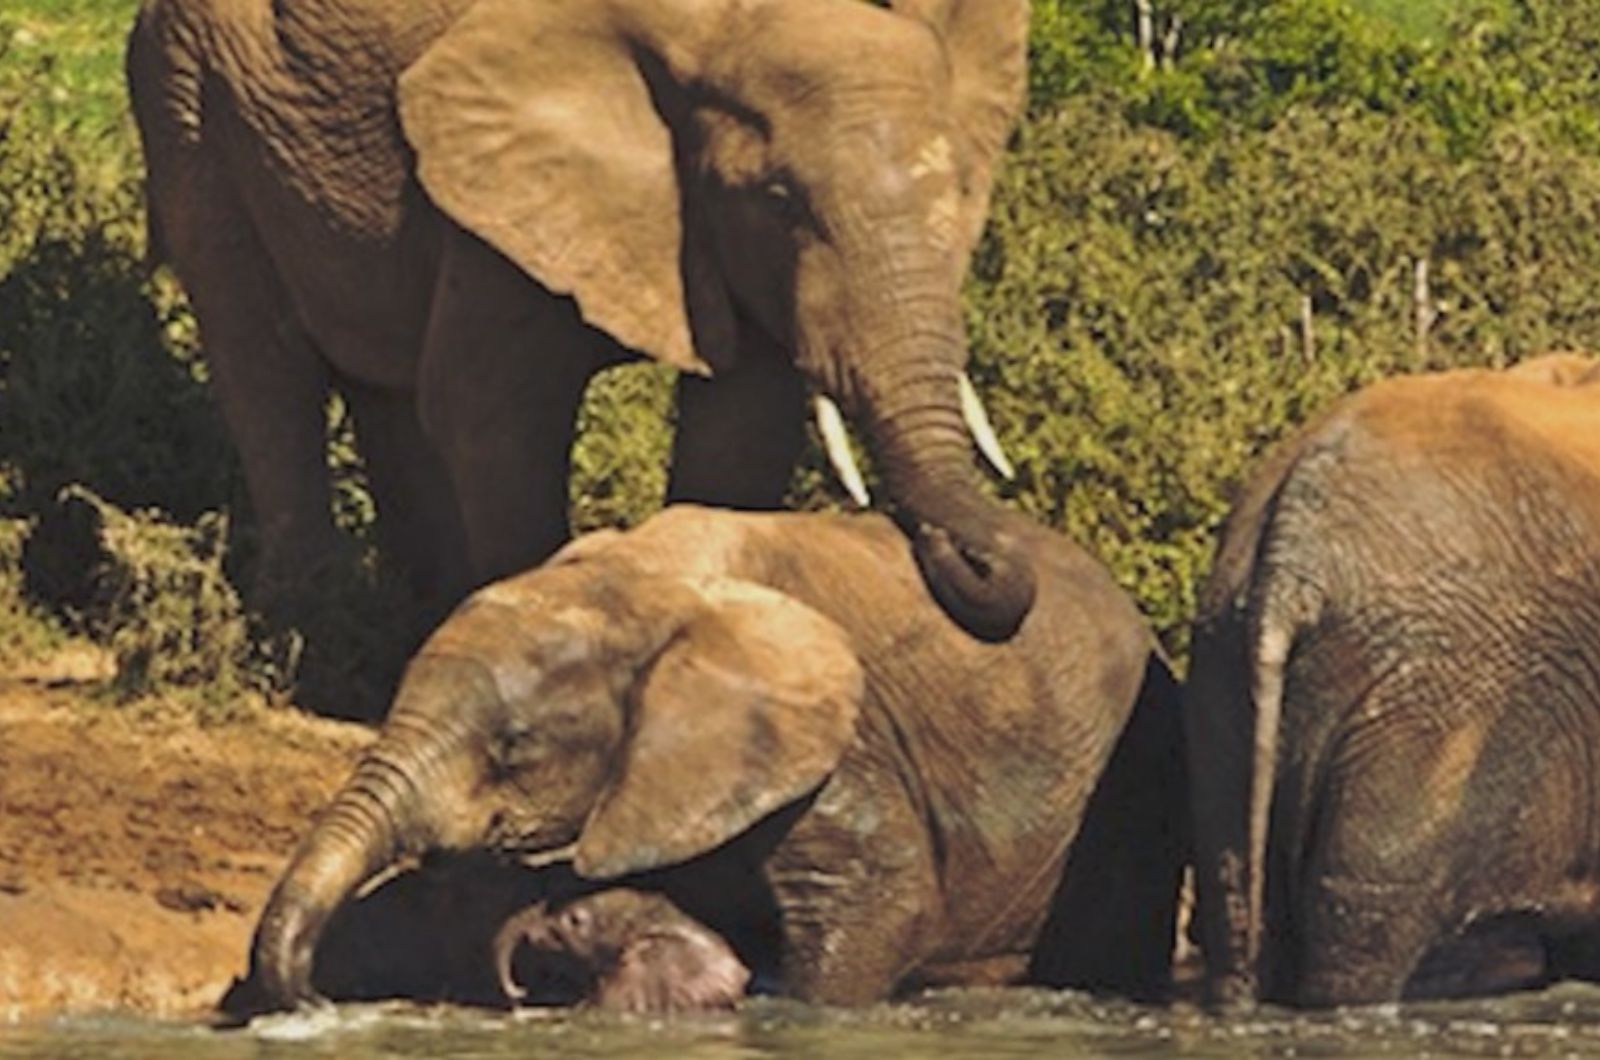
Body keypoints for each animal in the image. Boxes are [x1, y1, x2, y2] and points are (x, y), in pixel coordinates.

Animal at [131, 0, 1043, 640]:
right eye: (779, 200)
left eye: (966, 189)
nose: (964, 554)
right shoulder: (497, 192)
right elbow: (489, 415)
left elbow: (741, 435)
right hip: (190, 102)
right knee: (267, 370)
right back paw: (316, 640)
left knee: (374, 380)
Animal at [228, 505, 1190, 1011]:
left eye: (513, 748)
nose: (309, 1000)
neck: (636, 581)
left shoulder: (840, 743)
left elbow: (880, 906)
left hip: (1137, 786)